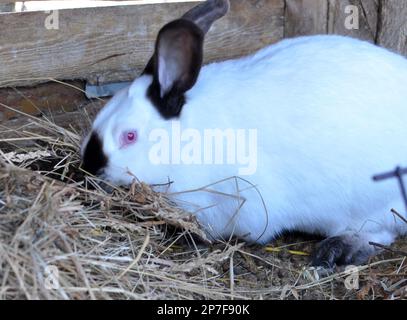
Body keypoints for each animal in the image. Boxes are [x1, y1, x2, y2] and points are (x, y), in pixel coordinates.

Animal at [82, 0, 407, 266]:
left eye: (129, 136)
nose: (88, 167)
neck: (186, 138)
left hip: (372, 201)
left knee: (382, 230)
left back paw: (340, 248)